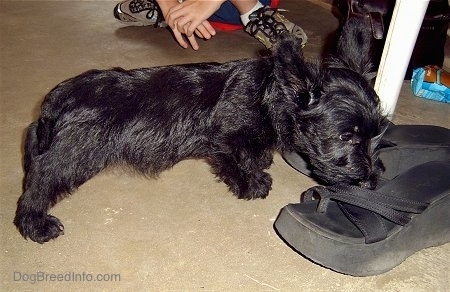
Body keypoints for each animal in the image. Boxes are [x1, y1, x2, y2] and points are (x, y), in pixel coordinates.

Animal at [14, 33, 386, 243]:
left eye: (377, 134)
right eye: (346, 135)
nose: (371, 182)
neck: (268, 94)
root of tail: (57, 99)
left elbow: (251, 155)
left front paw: (260, 166)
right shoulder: (224, 140)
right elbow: (237, 162)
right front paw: (252, 185)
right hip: (73, 155)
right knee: (39, 184)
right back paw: (36, 225)